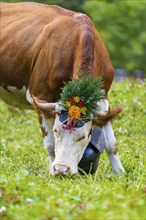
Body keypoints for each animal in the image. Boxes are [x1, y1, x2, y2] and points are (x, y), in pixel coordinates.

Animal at [0, 2, 125, 175]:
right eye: (56, 131)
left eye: (83, 137)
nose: (62, 169)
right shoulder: (41, 96)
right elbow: (50, 145)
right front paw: (52, 172)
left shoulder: (102, 97)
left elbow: (111, 143)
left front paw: (120, 173)